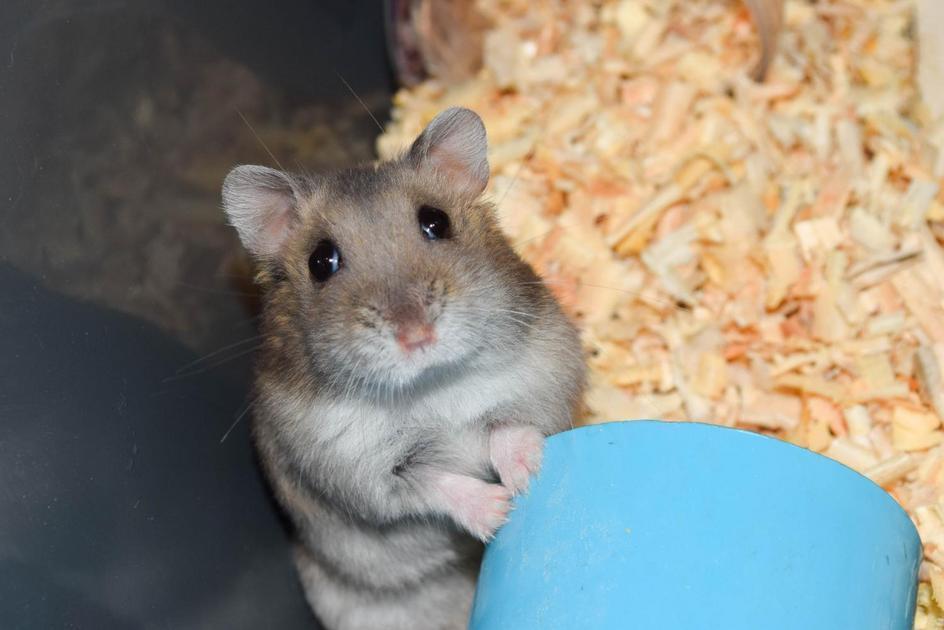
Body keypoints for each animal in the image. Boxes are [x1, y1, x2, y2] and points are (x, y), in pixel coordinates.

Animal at [221, 107, 586, 630]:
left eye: (436, 222)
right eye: (321, 261)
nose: (416, 334)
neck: (431, 385)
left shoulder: (548, 370)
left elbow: (510, 425)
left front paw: (524, 477)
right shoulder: (358, 472)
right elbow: (430, 484)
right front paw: (497, 511)